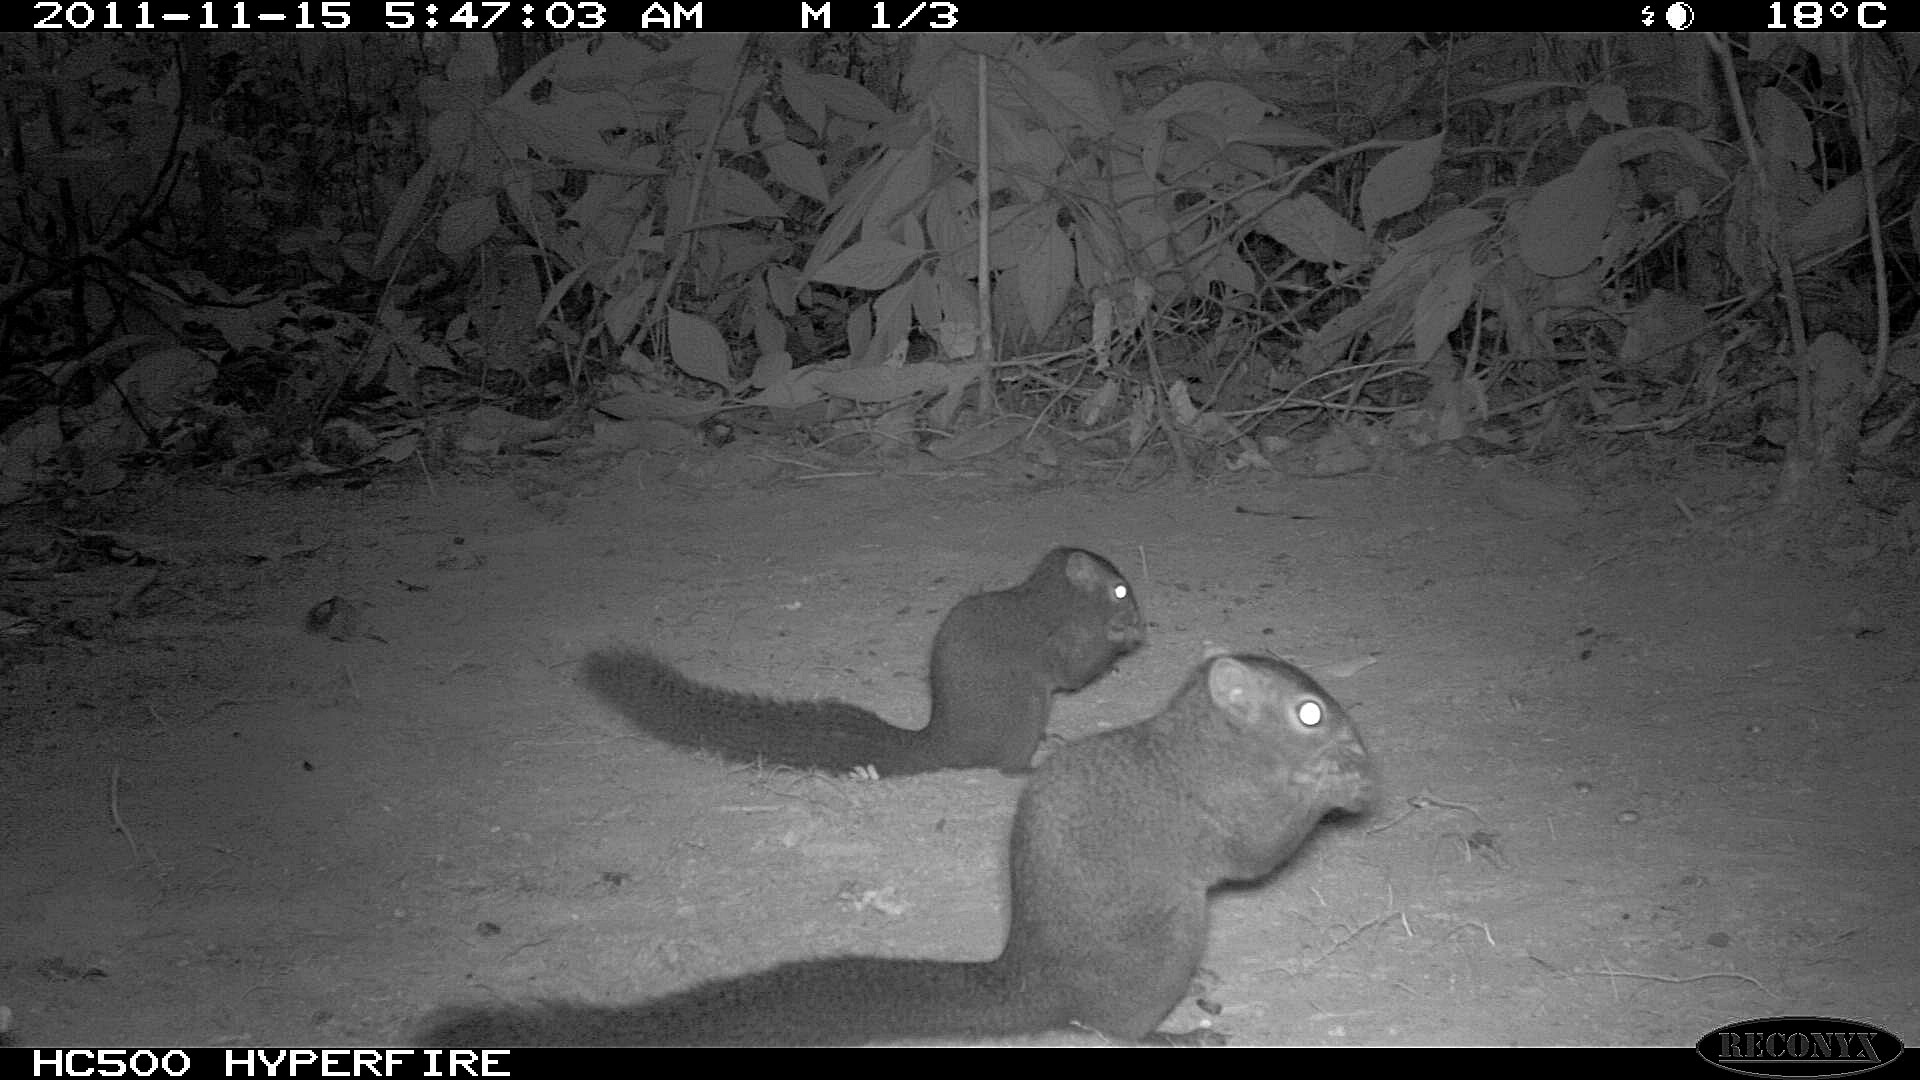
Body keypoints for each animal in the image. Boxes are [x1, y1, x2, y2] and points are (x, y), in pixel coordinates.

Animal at [419, 651, 1376, 1046]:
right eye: (1309, 712)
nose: (1358, 747)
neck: (1206, 743)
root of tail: (1027, 975)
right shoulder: (1223, 816)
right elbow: (1258, 854)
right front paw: (1338, 786)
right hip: (1164, 944)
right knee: (1102, 1027)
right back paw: (1171, 1035)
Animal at [578, 547, 1144, 775]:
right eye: (1120, 589)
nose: (1141, 618)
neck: (1055, 601)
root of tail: (941, 744)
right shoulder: (1059, 643)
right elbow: (1074, 673)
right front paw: (1124, 637)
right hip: (1025, 709)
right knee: (1006, 767)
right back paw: (1033, 764)